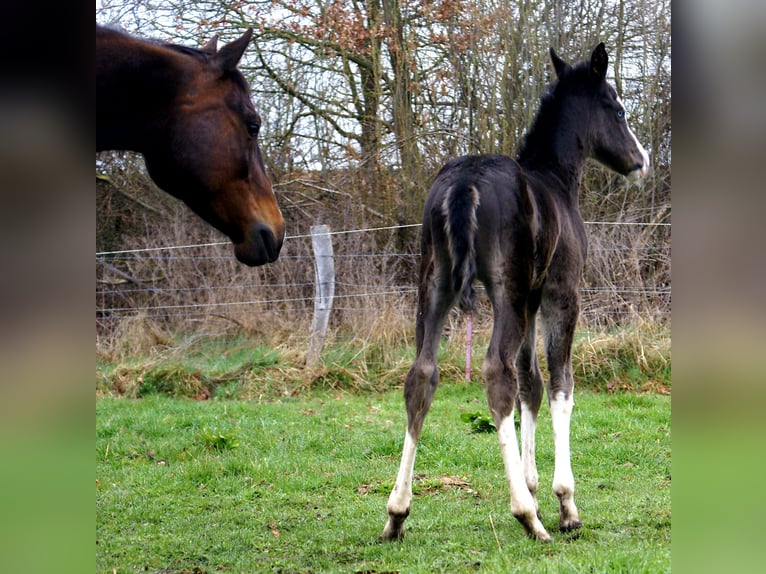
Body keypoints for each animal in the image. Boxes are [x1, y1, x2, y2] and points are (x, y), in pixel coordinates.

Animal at [382, 43, 649, 542]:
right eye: (619, 109)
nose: (641, 159)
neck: (557, 180)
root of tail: (464, 184)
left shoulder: (529, 296)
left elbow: (532, 383)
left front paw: (534, 485)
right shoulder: (560, 293)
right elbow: (560, 384)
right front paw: (562, 504)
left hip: (435, 283)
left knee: (422, 375)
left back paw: (396, 513)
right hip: (503, 290)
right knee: (495, 372)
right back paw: (526, 516)